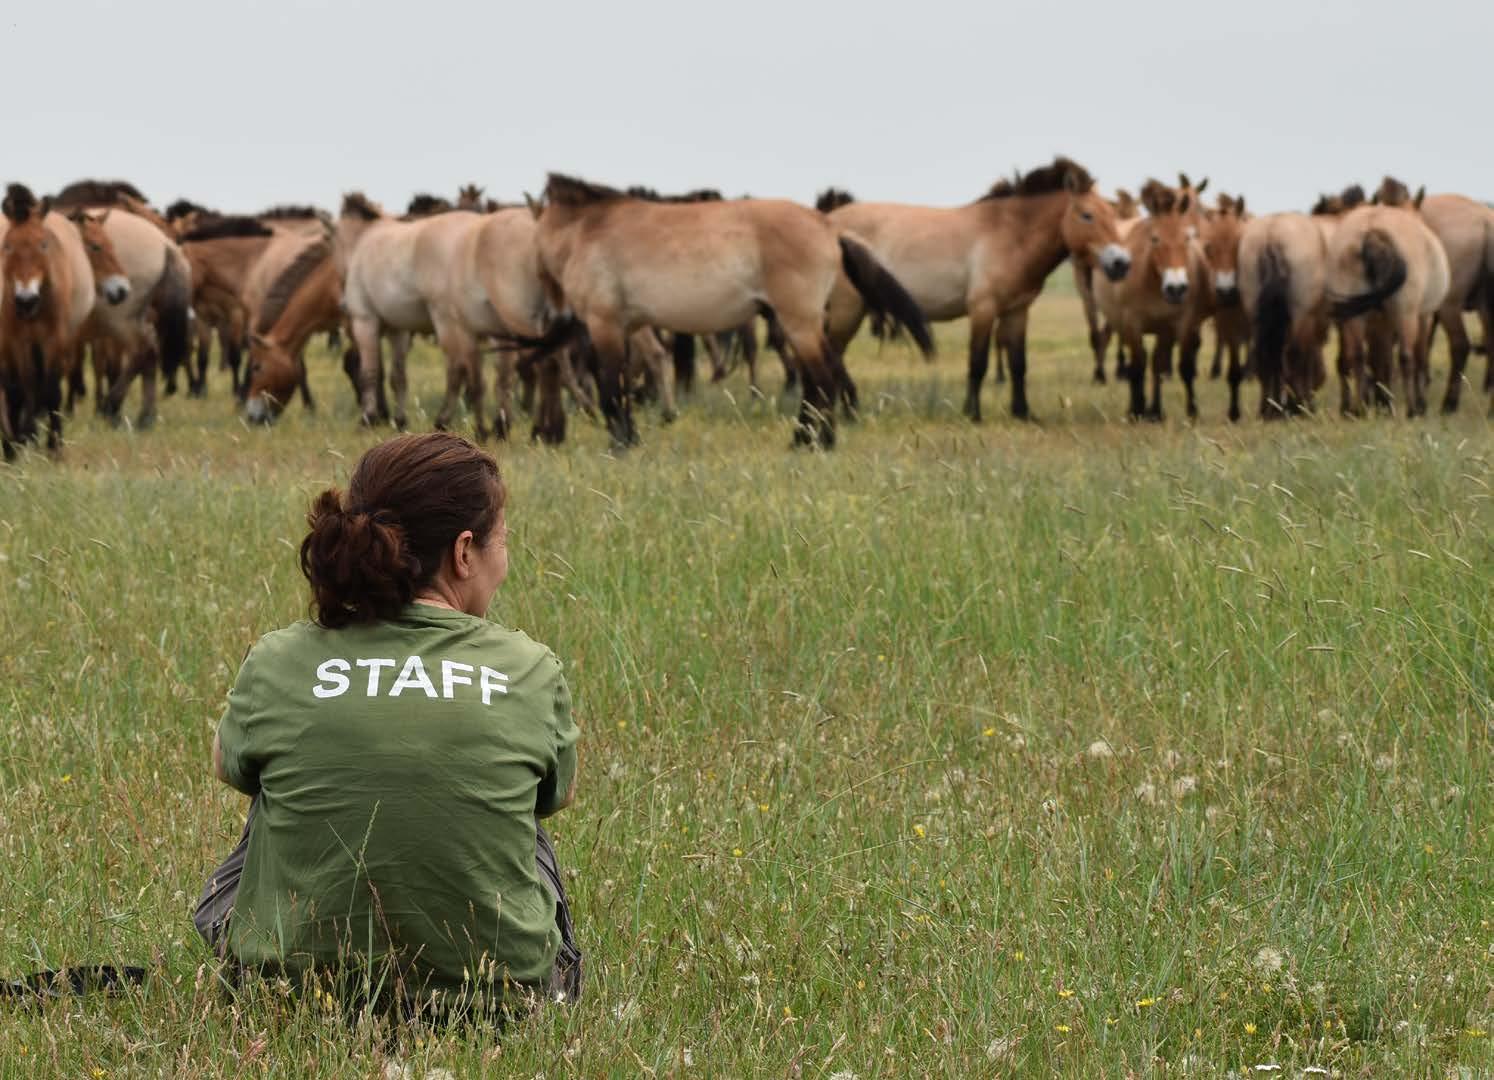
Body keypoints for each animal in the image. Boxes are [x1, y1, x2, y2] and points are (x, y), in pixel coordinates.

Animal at [0, 185, 95, 459]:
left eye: (43, 245)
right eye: (7, 246)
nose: (25, 299)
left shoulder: (54, 338)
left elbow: (51, 390)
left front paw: (54, 447)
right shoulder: (16, 339)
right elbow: (21, 387)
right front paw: (15, 447)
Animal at [526, 173, 933, 449]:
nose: (549, 313)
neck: (588, 229)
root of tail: (828, 226)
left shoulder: (604, 322)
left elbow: (611, 387)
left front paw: (620, 446)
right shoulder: (626, 327)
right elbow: (624, 385)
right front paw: (630, 438)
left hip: (799, 322)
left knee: (822, 378)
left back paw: (816, 442)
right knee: (822, 377)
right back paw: (806, 440)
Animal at [822, 157, 1128, 423]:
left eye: (1113, 215)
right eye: (1087, 215)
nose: (1121, 263)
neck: (1010, 235)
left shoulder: (1017, 311)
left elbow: (1019, 365)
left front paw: (1023, 413)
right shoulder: (983, 308)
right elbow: (977, 363)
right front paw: (973, 414)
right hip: (847, 309)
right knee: (832, 352)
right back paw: (848, 410)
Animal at [1093, 182, 1210, 420]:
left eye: (1187, 238)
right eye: (1155, 239)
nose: (1176, 288)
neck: (1152, 282)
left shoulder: (1176, 325)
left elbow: (1172, 366)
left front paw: (1175, 411)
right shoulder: (1131, 323)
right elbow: (1138, 365)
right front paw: (1137, 410)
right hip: (1118, 322)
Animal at [1325, 186, 1450, 417]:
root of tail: (1372, 232)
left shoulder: (1380, 324)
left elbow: (1382, 362)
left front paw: (1383, 401)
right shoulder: (1423, 316)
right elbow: (1418, 358)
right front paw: (1419, 403)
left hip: (1356, 317)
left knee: (1358, 357)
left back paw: (1360, 408)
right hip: (1405, 313)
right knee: (1406, 358)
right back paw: (1411, 409)